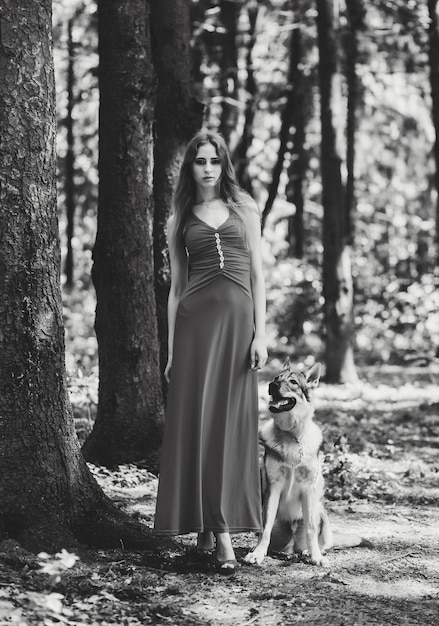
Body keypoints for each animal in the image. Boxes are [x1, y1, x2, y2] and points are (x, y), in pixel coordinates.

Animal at [246, 356, 370, 564]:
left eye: (293, 382)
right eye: (276, 377)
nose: (272, 385)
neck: (292, 435)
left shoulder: (309, 489)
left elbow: (311, 529)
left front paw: (316, 557)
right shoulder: (273, 487)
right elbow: (265, 528)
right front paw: (257, 554)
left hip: (320, 511)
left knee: (320, 542)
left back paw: (308, 551)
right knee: (282, 545)